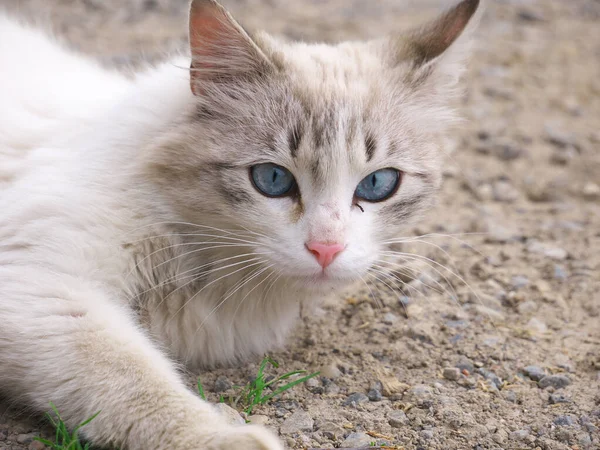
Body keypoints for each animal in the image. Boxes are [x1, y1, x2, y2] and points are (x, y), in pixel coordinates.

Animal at [0, 0, 478, 448]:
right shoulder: (47, 290)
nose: (326, 249)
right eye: (272, 179)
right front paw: (225, 436)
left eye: (378, 184)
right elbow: (134, 382)